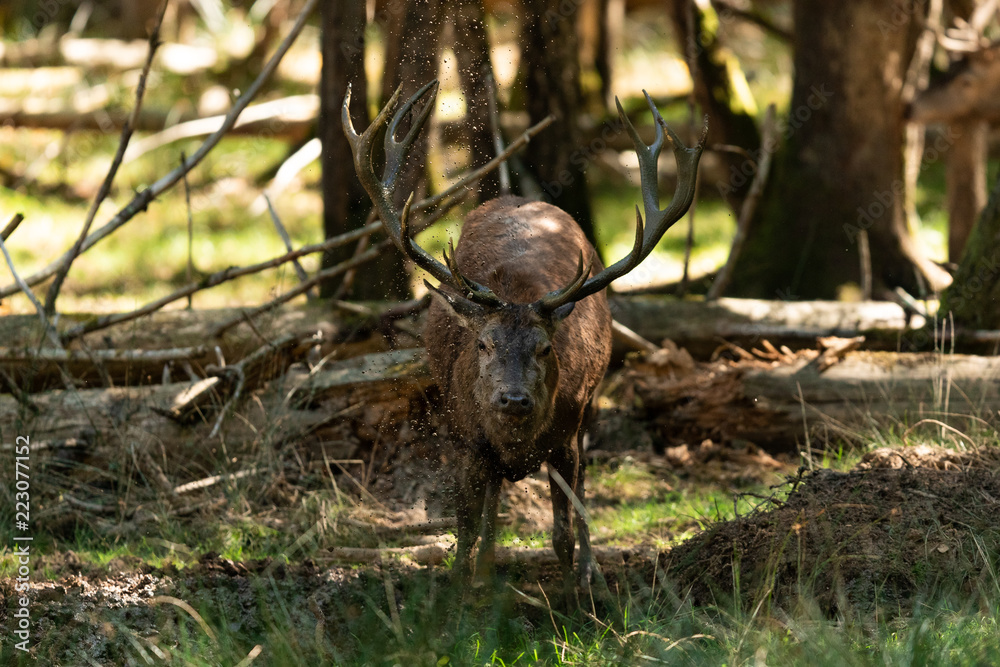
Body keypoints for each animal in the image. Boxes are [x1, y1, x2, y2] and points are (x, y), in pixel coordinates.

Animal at [342, 80, 705, 605]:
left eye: (545, 348)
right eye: (483, 345)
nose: (512, 399)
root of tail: (518, 197)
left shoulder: (566, 433)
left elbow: (563, 530)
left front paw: (574, 599)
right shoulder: (466, 437)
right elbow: (466, 525)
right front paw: (459, 592)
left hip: (589, 409)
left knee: (582, 493)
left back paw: (588, 574)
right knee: (494, 503)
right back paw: (487, 572)